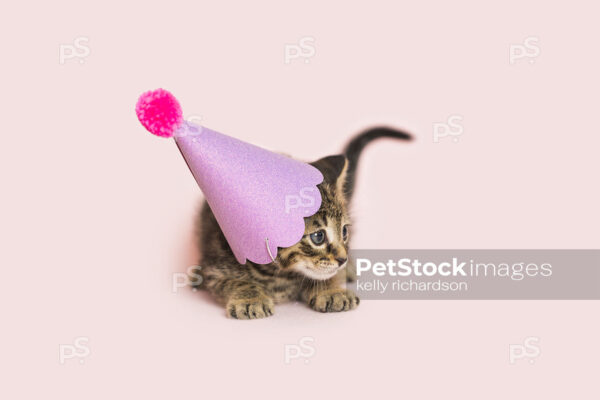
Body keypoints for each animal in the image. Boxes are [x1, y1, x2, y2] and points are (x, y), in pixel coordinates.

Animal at [192, 126, 412, 318]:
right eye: (318, 236)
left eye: (344, 232)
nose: (342, 259)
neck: (279, 274)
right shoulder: (215, 268)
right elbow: (236, 282)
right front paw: (249, 299)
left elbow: (325, 276)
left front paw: (331, 291)